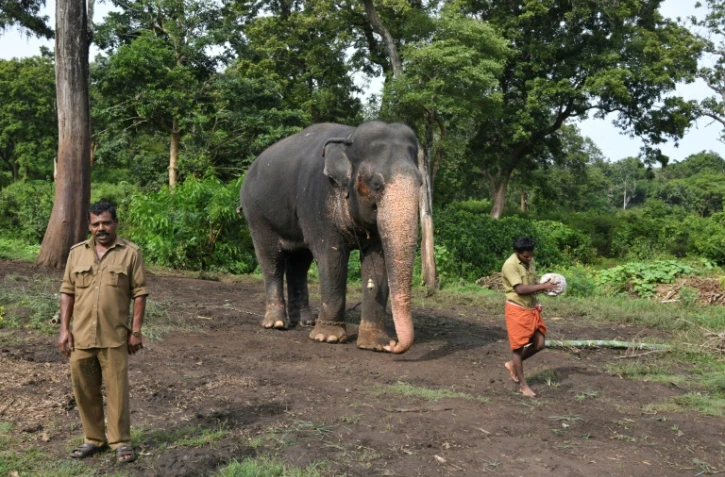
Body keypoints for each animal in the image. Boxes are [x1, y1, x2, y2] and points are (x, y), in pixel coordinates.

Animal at [240, 120, 421, 354]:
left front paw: (374, 345)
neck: (350, 137)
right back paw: (276, 324)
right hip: (257, 215)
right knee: (271, 259)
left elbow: (378, 260)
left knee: (299, 263)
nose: (394, 345)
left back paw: (305, 322)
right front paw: (327, 337)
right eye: (376, 184)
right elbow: (330, 256)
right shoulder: (317, 201)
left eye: (421, 184)